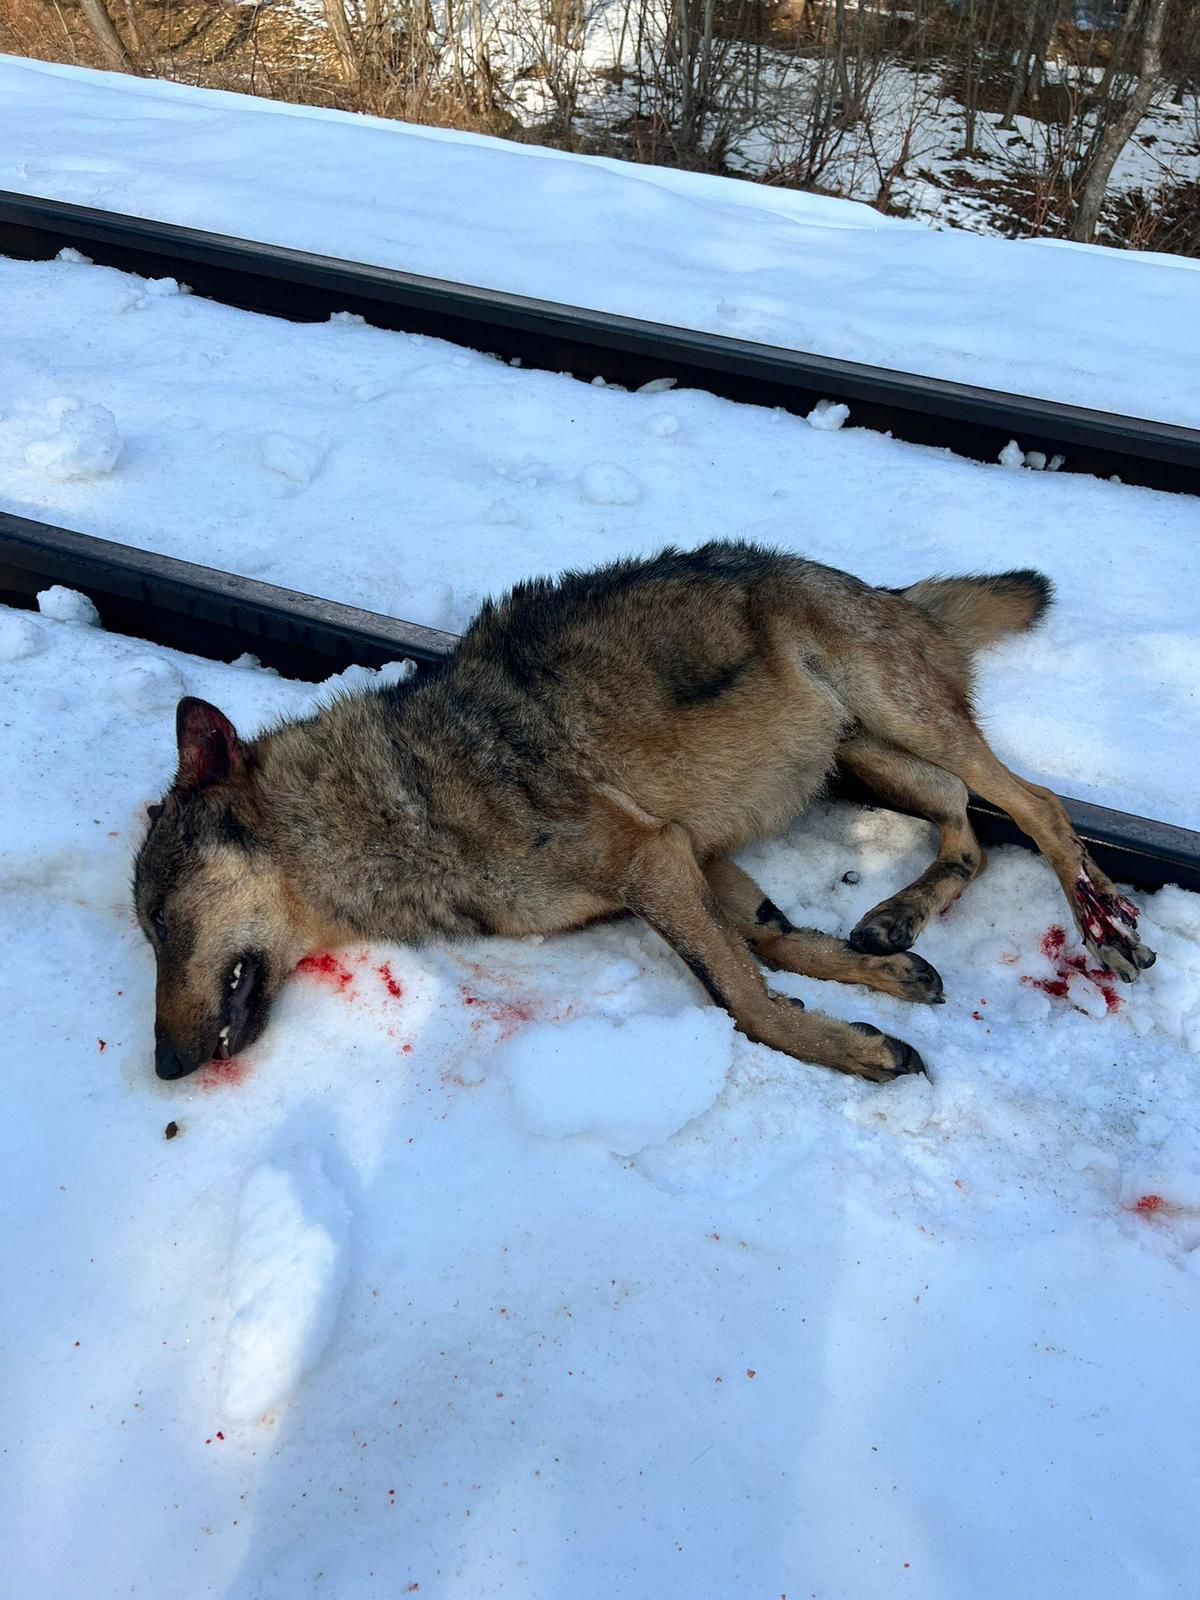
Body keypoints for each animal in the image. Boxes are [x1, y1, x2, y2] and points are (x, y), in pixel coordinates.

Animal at [133, 541, 1154, 1084]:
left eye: (163, 924)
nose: (165, 1069)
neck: (396, 801)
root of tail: (888, 589)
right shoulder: (695, 859)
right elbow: (776, 944)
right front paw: (879, 978)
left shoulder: (652, 857)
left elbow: (739, 997)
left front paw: (841, 1046)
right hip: (862, 756)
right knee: (965, 825)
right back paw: (896, 917)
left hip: (892, 715)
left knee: (1036, 805)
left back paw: (1102, 919)